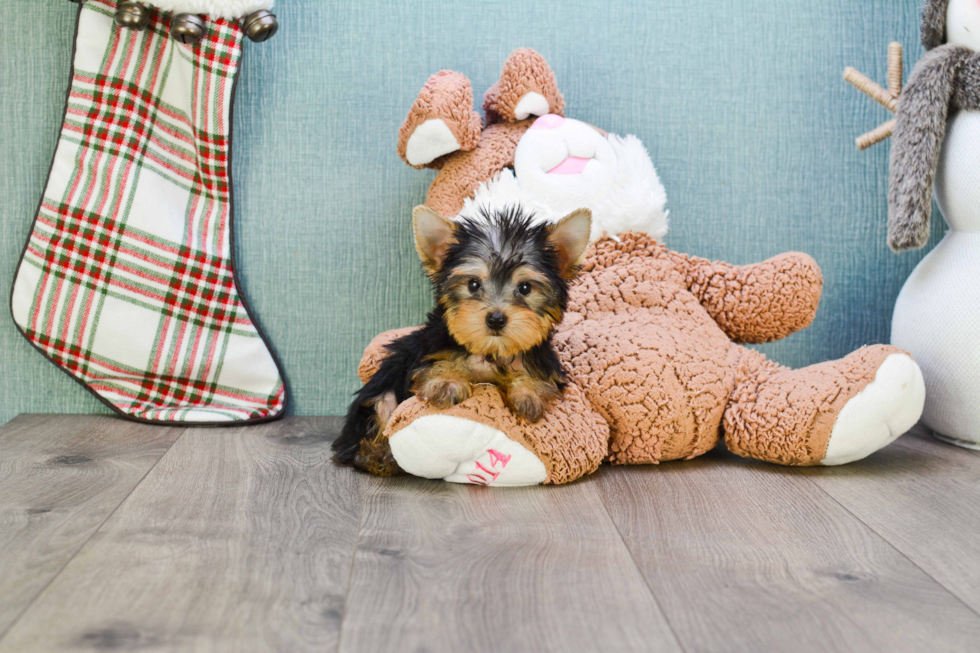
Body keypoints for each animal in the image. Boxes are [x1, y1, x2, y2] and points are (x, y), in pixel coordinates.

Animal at [332, 204, 588, 474]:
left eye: (525, 288)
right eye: (473, 284)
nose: (496, 319)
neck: (490, 351)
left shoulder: (544, 363)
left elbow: (537, 378)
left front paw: (528, 393)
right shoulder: (424, 351)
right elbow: (437, 364)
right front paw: (447, 381)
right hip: (380, 391)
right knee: (379, 411)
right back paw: (378, 457)